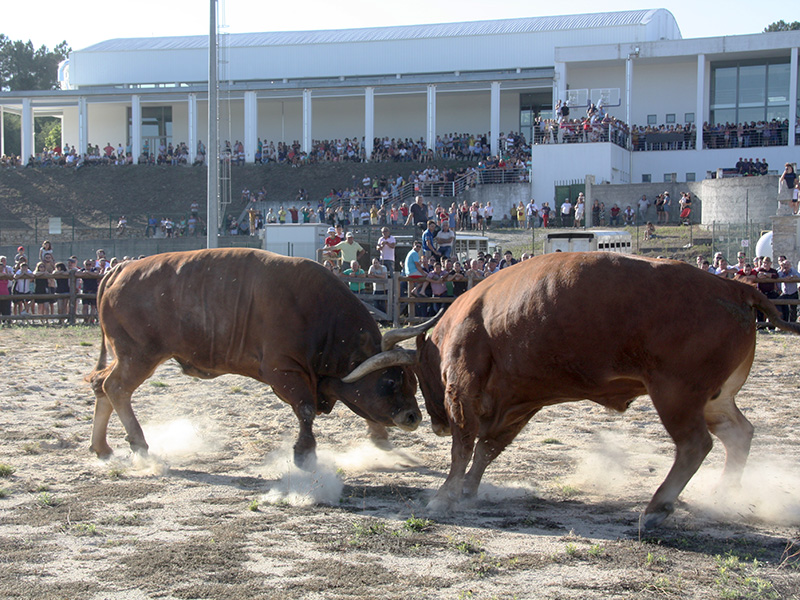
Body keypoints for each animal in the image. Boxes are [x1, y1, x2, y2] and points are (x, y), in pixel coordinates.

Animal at [87, 248, 438, 468]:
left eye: (411, 380)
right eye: (389, 381)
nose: (413, 417)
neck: (321, 317)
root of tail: (120, 268)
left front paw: (381, 443)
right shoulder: (283, 371)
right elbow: (305, 410)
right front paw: (305, 455)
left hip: (129, 356)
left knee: (100, 384)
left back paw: (102, 447)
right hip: (139, 356)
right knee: (115, 387)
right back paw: (140, 445)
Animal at [400, 251, 792, 528]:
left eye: (416, 375)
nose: (435, 424)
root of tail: (733, 287)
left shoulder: (463, 390)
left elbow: (464, 447)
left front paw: (444, 497)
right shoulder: (521, 401)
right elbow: (487, 449)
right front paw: (468, 491)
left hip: (677, 395)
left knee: (695, 444)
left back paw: (655, 509)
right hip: (714, 400)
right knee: (738, 433)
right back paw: (722, 495)